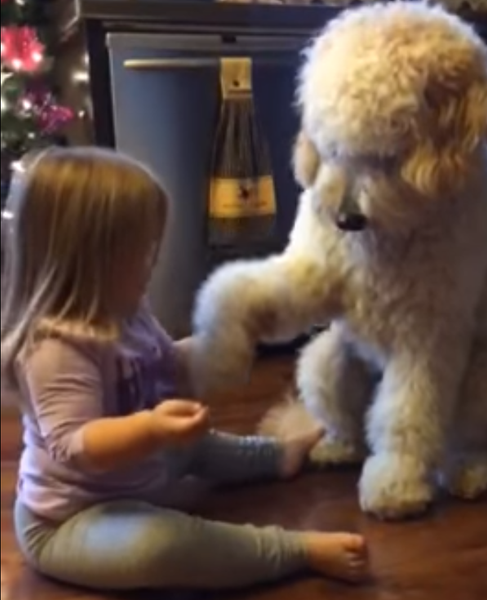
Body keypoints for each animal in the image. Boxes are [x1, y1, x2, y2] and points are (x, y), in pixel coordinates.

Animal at [191, 1, 487, 520]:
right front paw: (219, 352)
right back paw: (337, 446)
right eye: (332, 146)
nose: (347, 219)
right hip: (324, 360)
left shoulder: (428, 338)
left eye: (389, 154)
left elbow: (406, 414)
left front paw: (395, 483)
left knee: (457, 440)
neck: (386, 237)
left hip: (477, 382)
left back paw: (468, 471)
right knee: (350, 425)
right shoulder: (313, 276)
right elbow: (235, 289)